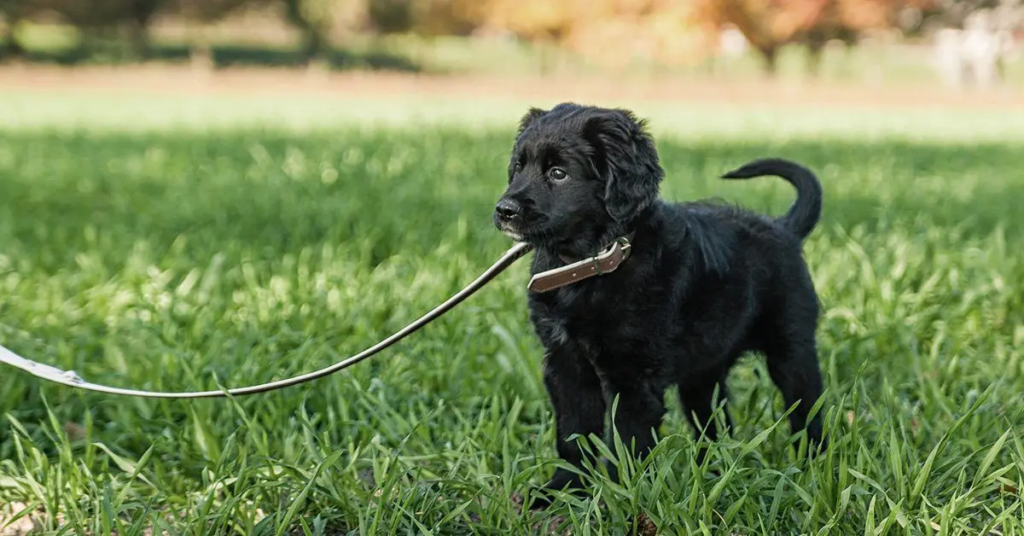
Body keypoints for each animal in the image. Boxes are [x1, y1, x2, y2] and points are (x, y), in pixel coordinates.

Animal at [493, 102, 823, 506]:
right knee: (714, 424)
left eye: (558, 173)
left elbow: (625, 445)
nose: (504, 209)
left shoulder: (633, 379)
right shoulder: (565, 364)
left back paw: (812, 466)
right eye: (518, 166)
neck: (593, 262)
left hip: (792, 350)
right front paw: (563, 490)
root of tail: (783, 228)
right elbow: (574, 434)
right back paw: (712, 473)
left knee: (808, 411)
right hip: (704, 371)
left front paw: (618, 499)